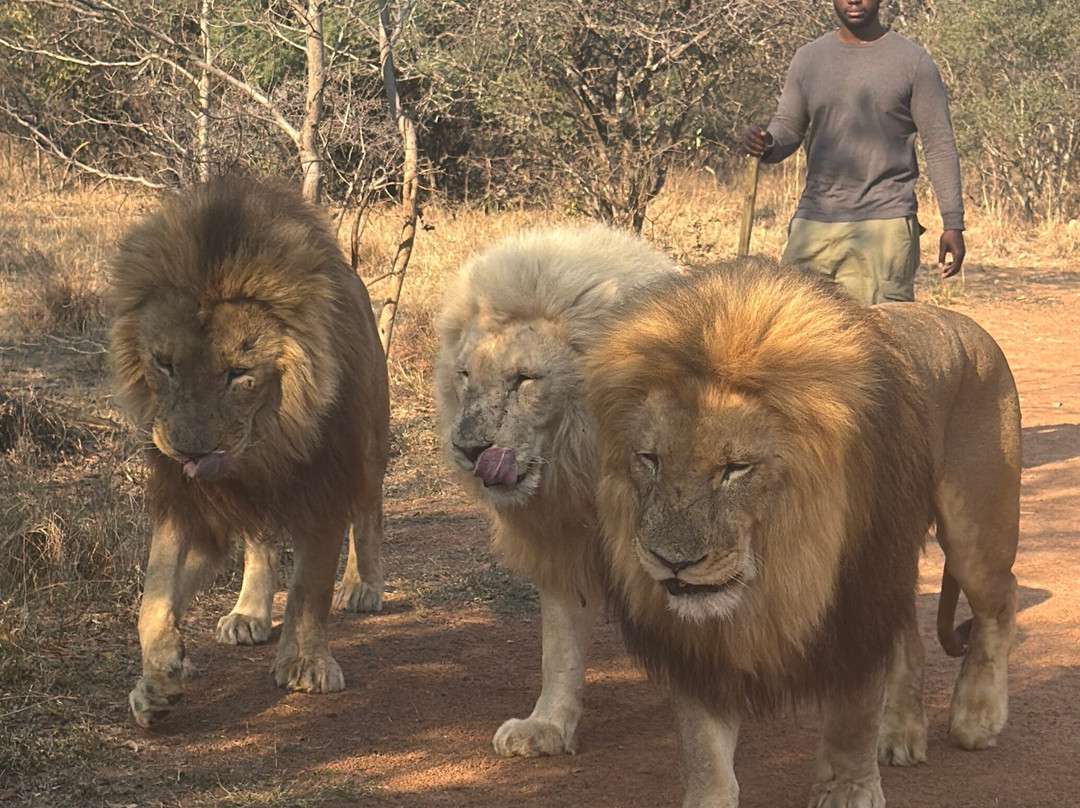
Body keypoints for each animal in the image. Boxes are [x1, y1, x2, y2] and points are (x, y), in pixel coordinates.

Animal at [109, 177, 390, 727]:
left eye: (239, 374)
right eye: (165, 364)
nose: (189, 450)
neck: (264, 449)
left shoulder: (322, 485)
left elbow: (310, 589)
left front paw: (306, 663)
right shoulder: (187, 501)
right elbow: (153, 596)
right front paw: (156, 681)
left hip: (371, 445)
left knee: (368, 511)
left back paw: (362, 585)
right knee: (260, 542)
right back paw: (248, 613)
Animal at [434, 225, 678, 756]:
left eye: (524, 380)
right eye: (465, 375)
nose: (467, 448)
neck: (582, 468)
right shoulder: (564, 545)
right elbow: (559, 648)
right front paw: (545, 727)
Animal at [585, 259, 1020, 808]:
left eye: (735, 469)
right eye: (650, 459)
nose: (672, 561)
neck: (779, 561)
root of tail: (969, 325)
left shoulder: (857, 599)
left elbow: (852, 716)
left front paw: (848, 791)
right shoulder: (699, 644)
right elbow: (703, 748)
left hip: (974, 533)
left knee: (1000, 600)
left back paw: (977, 717)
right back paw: (901, 732)